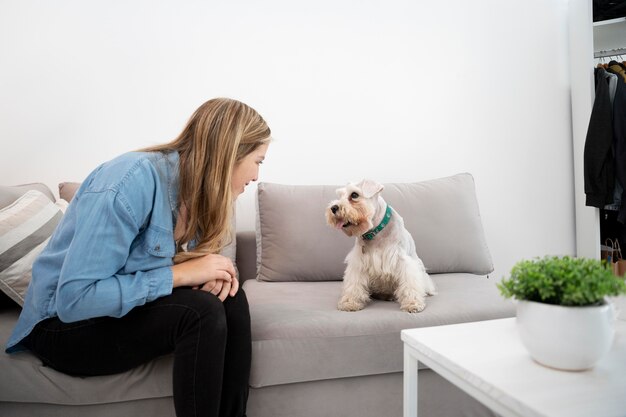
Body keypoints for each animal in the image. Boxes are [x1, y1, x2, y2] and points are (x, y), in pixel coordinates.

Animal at [324, 180, 436, 312]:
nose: (333, 208)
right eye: (340, 195)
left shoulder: (403, 261)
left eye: (354, 195)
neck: (376, 231)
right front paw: (350, 302)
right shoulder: (358, 263)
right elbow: (354, 283)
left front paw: (412, 304)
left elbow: (409, 283)